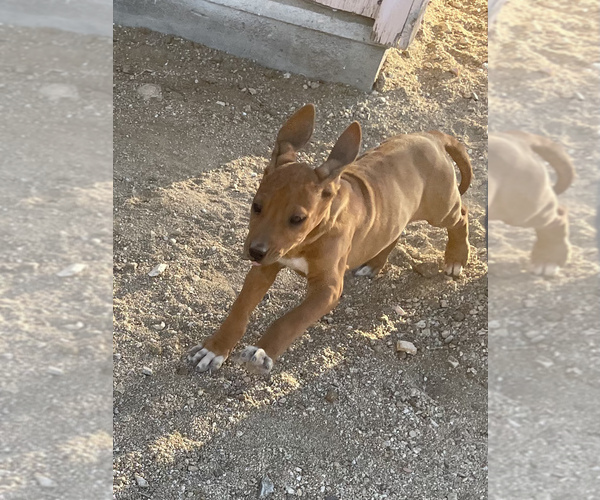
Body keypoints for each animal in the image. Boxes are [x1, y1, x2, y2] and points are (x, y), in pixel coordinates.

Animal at [190, 103, 472, 374]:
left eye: (297, 219)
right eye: (256, 206)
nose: (255, 252)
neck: (306, 241)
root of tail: (430, 136)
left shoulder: (327, 288)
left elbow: (290, 320)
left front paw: (262, 353)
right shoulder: (265, 267)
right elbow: (239, 310)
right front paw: (215, 348)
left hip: (440, 209)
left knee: (462, 216)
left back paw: (456, 257)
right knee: (395, 232)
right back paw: (374, 263)